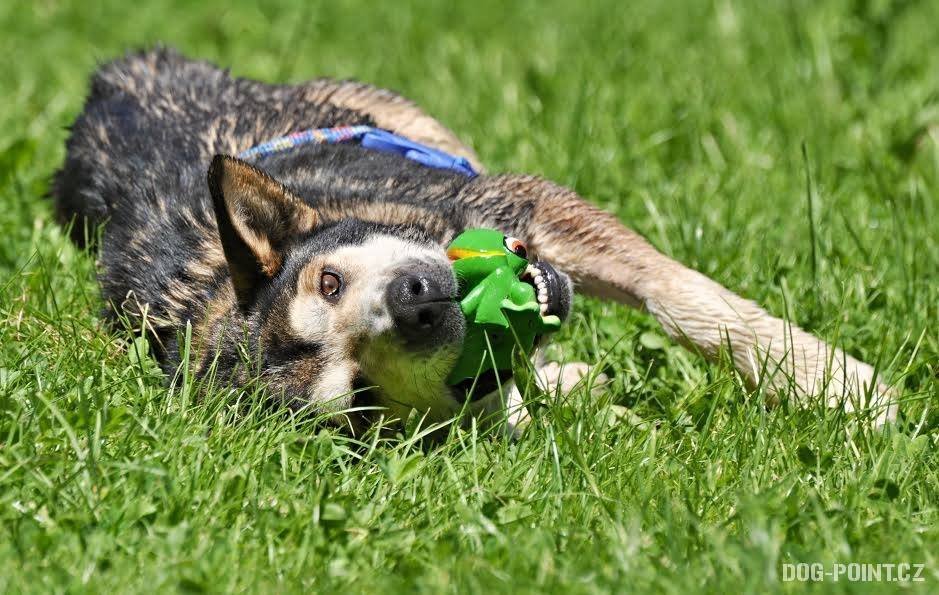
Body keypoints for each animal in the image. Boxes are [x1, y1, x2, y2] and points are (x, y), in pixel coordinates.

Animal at [53, 49, 904, 434]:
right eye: (360, 398)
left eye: (328, 281)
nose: (417, 302)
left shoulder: (521, 201)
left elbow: (680, 295)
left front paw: (834, 385)